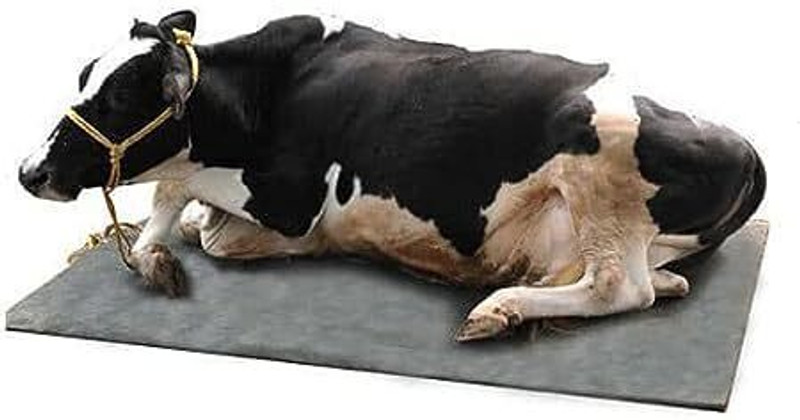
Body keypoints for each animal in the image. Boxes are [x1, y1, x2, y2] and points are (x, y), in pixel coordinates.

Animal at [18, 11, 765, 342]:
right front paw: (158, 255)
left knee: (621, 287)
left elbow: (194, 211)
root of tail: (747, 147)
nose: (29, 171)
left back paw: (498, 308)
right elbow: (179, 205)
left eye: (118, 97)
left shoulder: (291, 196)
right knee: (650, 280)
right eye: (83, 77)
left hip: (601, 157)